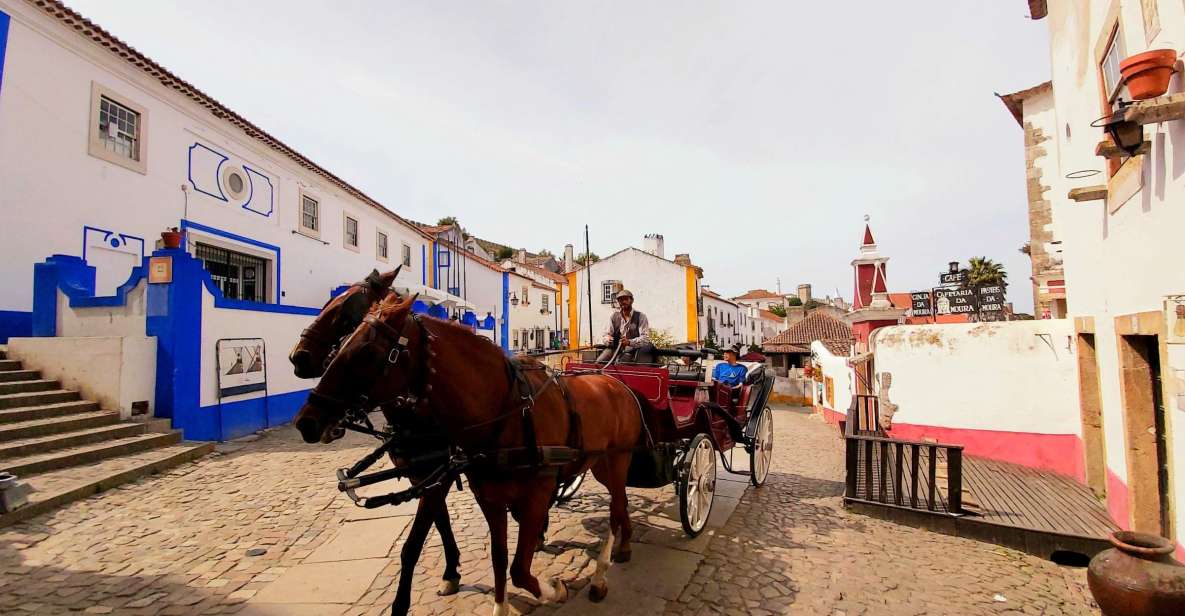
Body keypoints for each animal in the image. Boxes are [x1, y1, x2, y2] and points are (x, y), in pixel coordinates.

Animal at [289, 265, 464, 616]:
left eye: (343, 311)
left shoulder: (439, 474)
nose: (297, 358)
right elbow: (440, 521)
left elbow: (413, 545)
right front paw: (451, 570)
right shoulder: (424, 477)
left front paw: (401, 603)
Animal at [296, 293, 644, 611]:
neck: (506, 411)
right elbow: (499, 558)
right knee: (620, 505)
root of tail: (615, 382)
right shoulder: (483, 495)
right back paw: (621, 546)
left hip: (618, 460)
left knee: (616, 508)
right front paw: (495, 602)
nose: (306, 422)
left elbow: (518, 569)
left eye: (366, 351)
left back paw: (601, 573)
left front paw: (555, 590)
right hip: (599, 464)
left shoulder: (531, 493)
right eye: (342, 343)